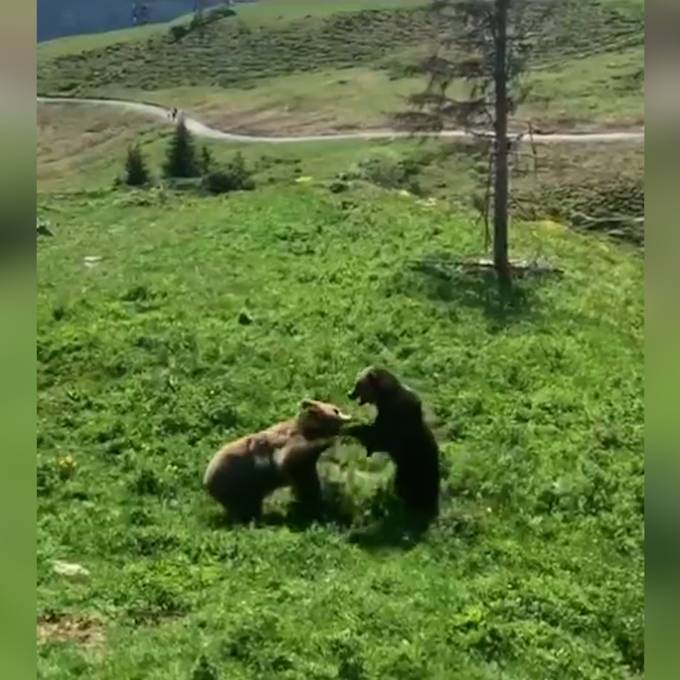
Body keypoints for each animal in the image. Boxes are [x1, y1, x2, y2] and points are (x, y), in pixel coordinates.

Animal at [202, 402, 350, 524]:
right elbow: (293, 460)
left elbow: (306, 478)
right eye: (336, 410)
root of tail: (207, 481)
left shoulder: (305, 463)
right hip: (238, 483)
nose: (348, 416)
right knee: (244, 506)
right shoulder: (290, 443)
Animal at [346, 370, 440, 516]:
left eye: (358, 384)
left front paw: (351, 427)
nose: (349, 393)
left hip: (417, 467)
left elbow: (376, 435)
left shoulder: (394, 420)